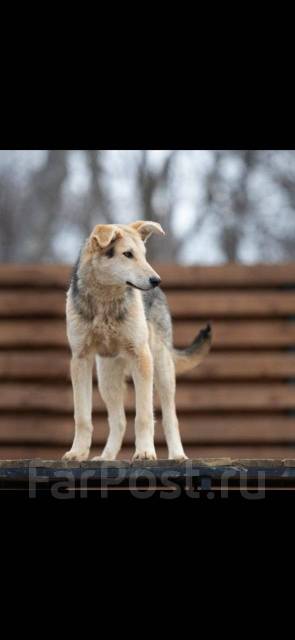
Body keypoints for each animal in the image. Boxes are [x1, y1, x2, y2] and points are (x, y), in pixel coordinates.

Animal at [63, 220, 213, 460]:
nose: (156, 280)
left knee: (170, 418)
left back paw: (178, 456)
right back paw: (106, 457)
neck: (105, 301)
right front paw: (77, 453)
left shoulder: (140, 356)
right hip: (107, 379)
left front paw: (144, 452)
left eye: (144, 255)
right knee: (119, 421)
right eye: (127, 254)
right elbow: (82, 417)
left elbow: (143, 416)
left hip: (162, 370)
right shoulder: (80, 359)